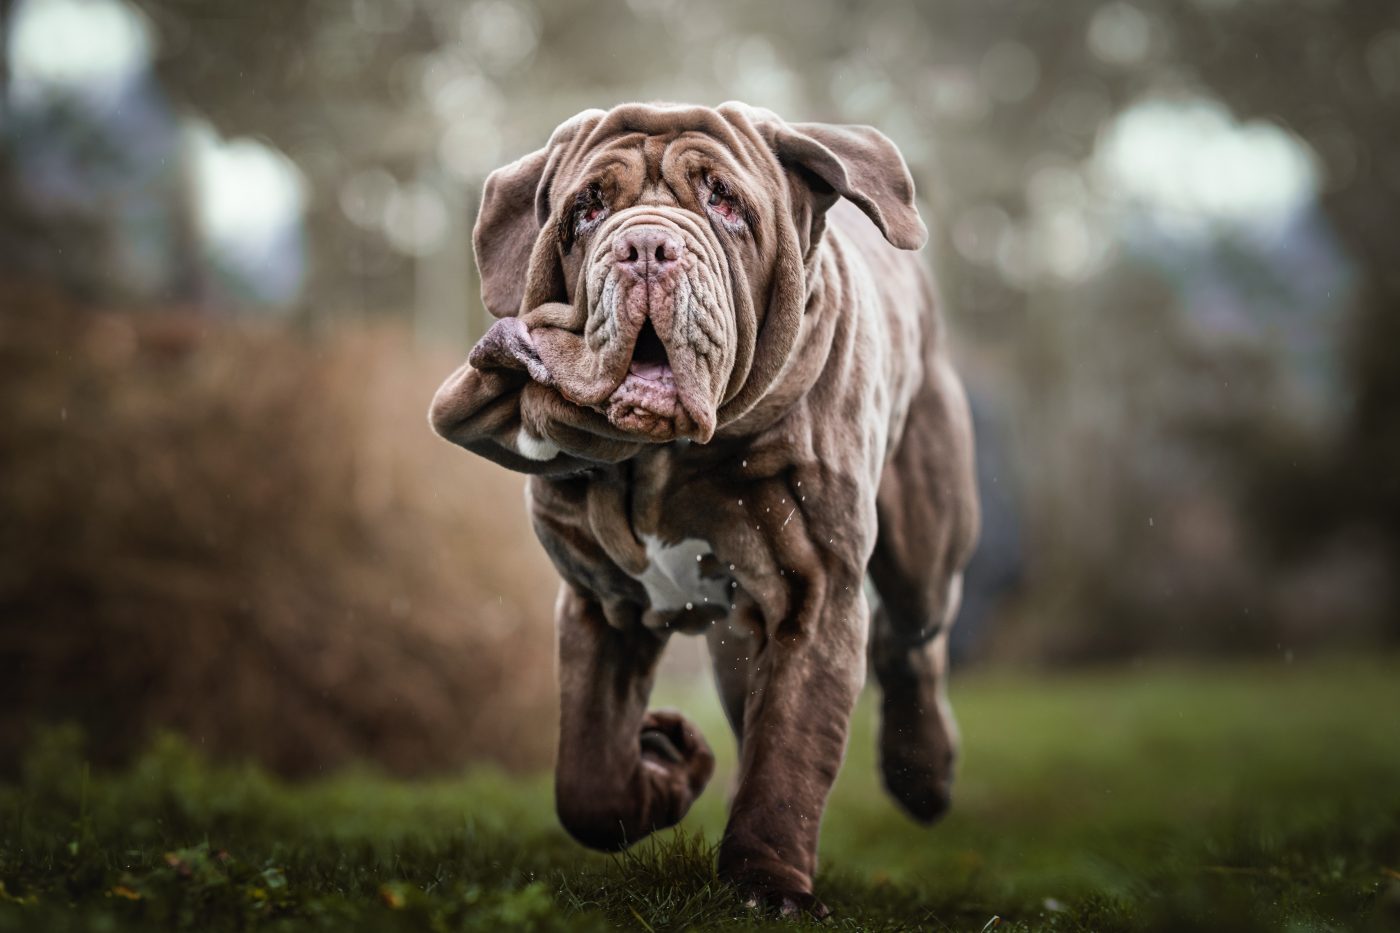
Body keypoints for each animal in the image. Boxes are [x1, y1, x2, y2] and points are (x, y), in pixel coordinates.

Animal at [431, 100, 980, 907]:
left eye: (726, 203)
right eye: (588, 209)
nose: (645, 246)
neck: (665, 459)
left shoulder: (814, 595)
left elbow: (791, 756)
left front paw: (766, 883)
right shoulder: (600, 603)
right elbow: (587, 773)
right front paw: (670, 763)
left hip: (926, 541)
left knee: (912, 640)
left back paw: (926, 775)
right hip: (736, 642)